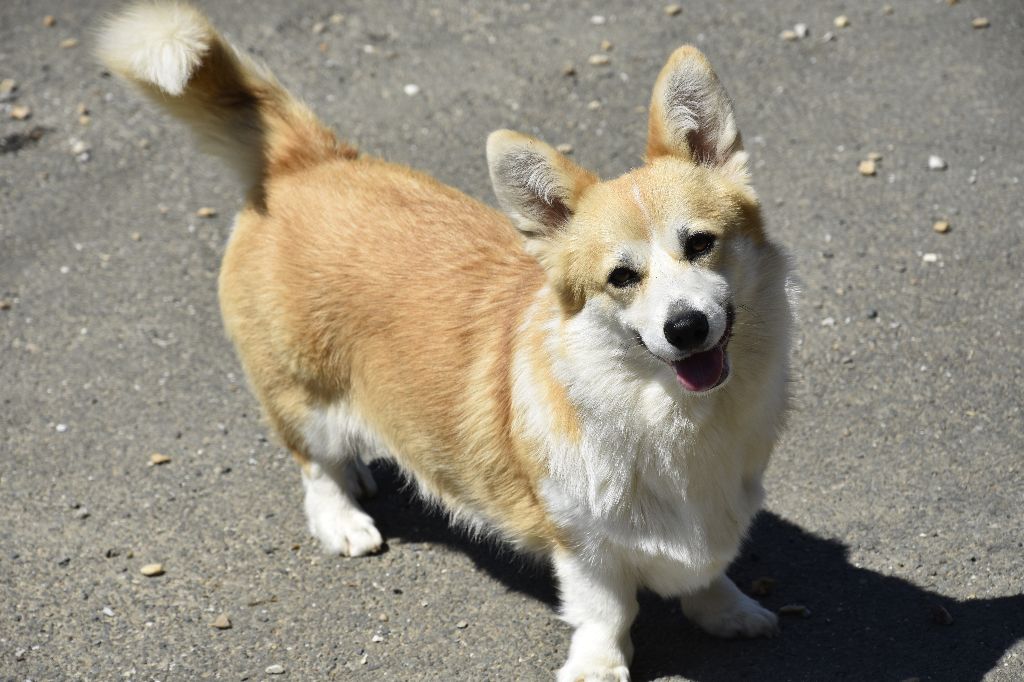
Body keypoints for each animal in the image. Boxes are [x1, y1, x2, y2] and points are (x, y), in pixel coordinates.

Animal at [98, 4, 795, 679]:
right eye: (621, 277)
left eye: (700, 243)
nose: (687, 326)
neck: (672, 414)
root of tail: (307, 159)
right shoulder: (583, 540)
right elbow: (607, 611)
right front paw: (598, 667)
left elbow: (707, 572)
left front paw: (727, 611)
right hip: (302, 390)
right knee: (314, 464)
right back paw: (343, 519)